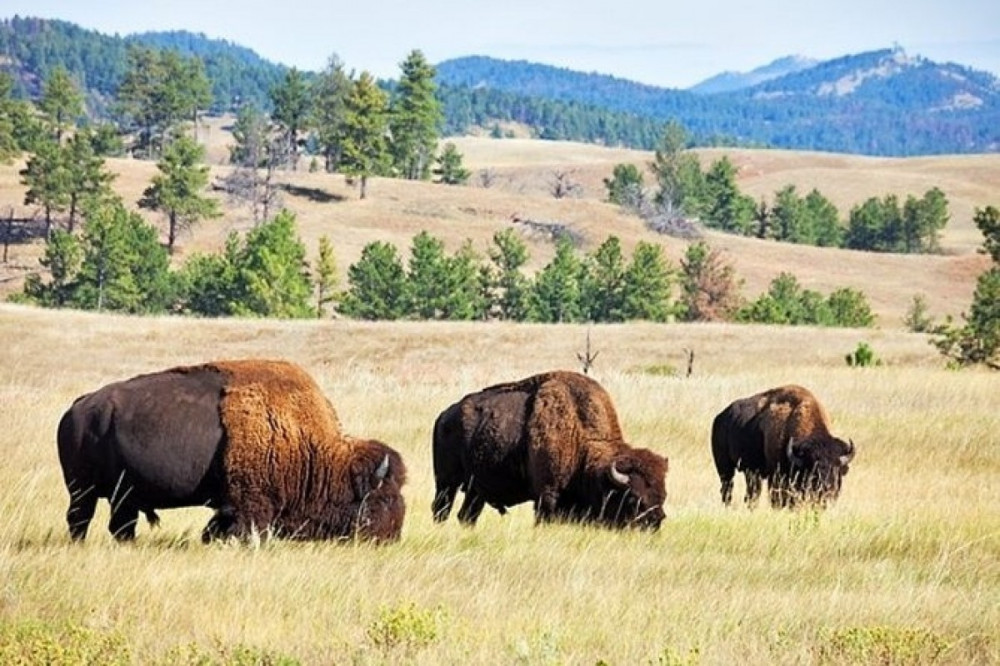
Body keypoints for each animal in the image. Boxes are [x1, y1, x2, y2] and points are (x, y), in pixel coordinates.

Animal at [54, 360, 404, 544]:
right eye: (384, 499)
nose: (392, 537)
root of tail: (78, 407)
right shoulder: (250, 506)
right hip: (82, 490)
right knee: (80, 520)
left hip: (122, 495)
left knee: (121, 525)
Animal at [428, 368, 664, 528]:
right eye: (633, 498)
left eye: (663, 495)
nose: (656, 522)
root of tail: (444, 416)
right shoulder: (547, 495)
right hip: (446, 482)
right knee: (441, 509)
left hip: (476, 490)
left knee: (466, 515)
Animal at [712, 382, 860, 506]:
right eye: (813, 470)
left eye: (836, 468)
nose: (827, 491)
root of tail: (720, 417)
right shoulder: (776, 477)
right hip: (725, 468)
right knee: (727, 489)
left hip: (752, 472)